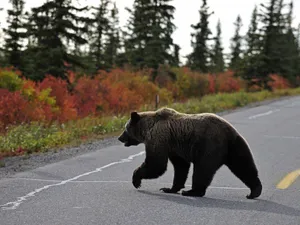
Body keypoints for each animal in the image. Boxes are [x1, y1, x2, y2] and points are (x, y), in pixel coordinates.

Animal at [118, 107, 262, 199]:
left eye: (125, 128)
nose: (120, 137)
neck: (147, 128)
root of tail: (228, 132)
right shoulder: (174, 147)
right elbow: (181, 167)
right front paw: (169, 188)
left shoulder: (159, 138)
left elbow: (156, 164)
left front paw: (136, 180)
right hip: (235, 146)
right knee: (243, 165)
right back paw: (254, 191)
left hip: (209, 146)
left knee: (202, 169)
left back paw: (192, 191)